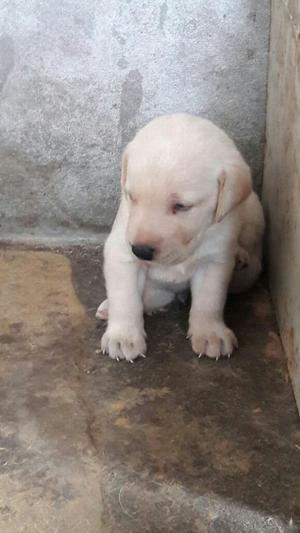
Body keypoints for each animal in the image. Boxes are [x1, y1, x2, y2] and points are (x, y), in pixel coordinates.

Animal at [97, 112, 264, 362]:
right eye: (131, 197)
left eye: (182, 206)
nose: (141, 251)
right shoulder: (121, 251)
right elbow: (126, 297)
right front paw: (123, 337)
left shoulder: (215, 260)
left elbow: (209, 300)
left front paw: (210, 334)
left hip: (253, 214)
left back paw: (242, 259)